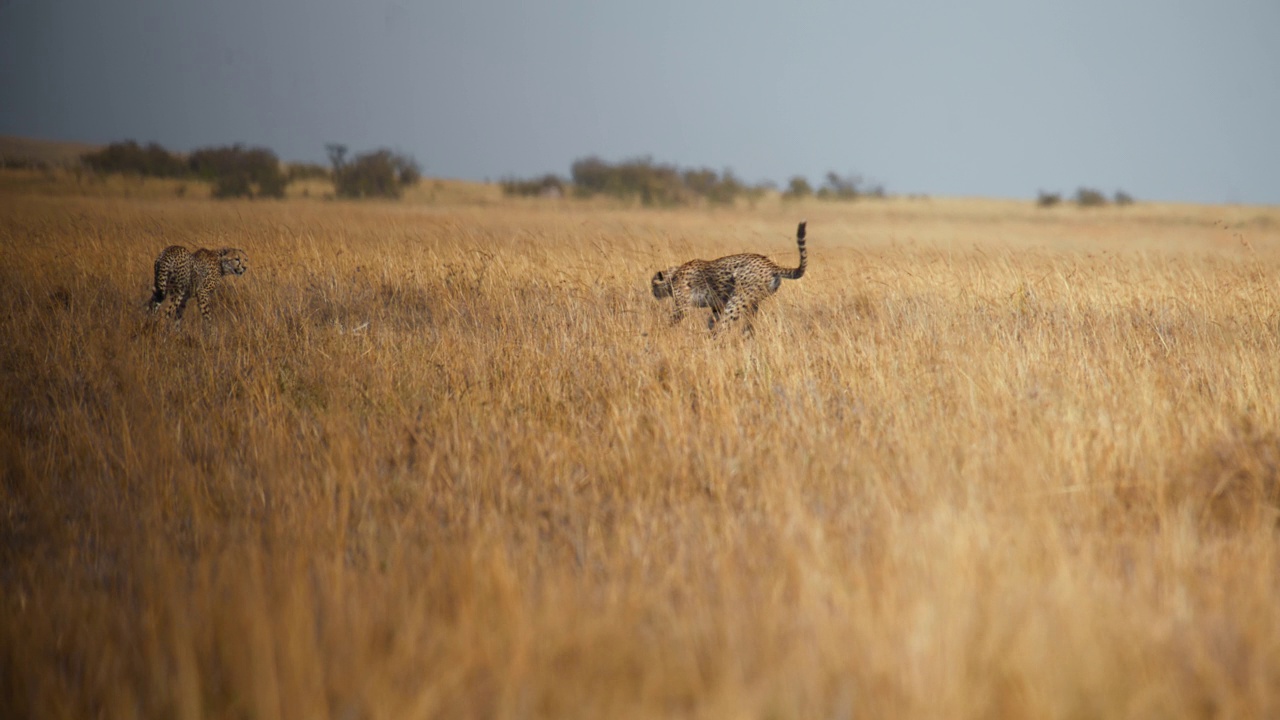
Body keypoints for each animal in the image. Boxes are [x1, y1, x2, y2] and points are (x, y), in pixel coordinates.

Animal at [650, 220, 808, 333]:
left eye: (652, 284)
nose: (653, 293)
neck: (673, 275)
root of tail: (771, 264)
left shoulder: (683, 307)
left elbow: (672, 321)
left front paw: (661, 331)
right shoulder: (717, 306)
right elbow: (712, 321)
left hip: (737, 300)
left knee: (724, 329)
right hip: (752, 302)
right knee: (748, 328)